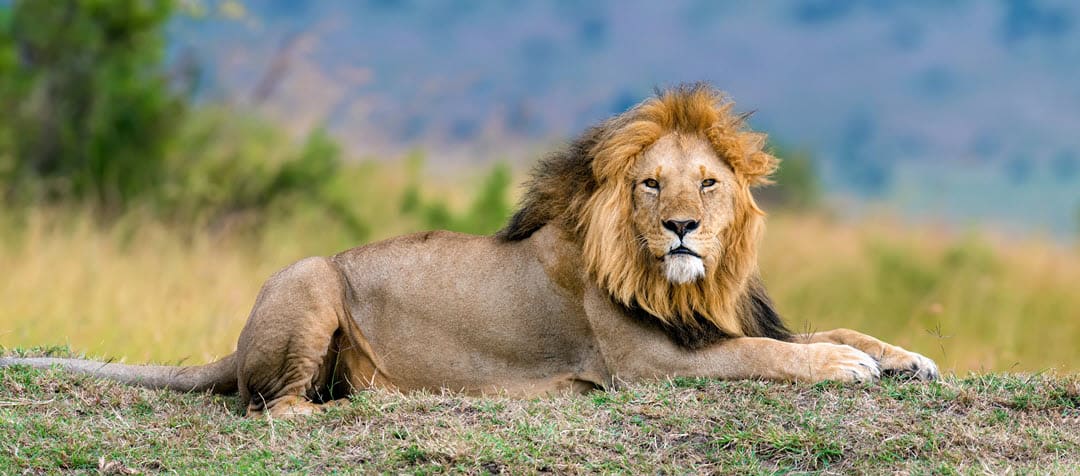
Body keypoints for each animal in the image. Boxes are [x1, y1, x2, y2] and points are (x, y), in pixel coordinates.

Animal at [1, 84, 938, 417]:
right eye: (650, 184)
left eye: (706, 184)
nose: (681, 229)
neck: (684, 284)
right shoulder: (649, 365)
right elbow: (770, 357)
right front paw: (845, 370)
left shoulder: (722, 320)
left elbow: (831, 329)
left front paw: (904, 358)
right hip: (309, 277)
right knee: (271, 405)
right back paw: (347, 404)